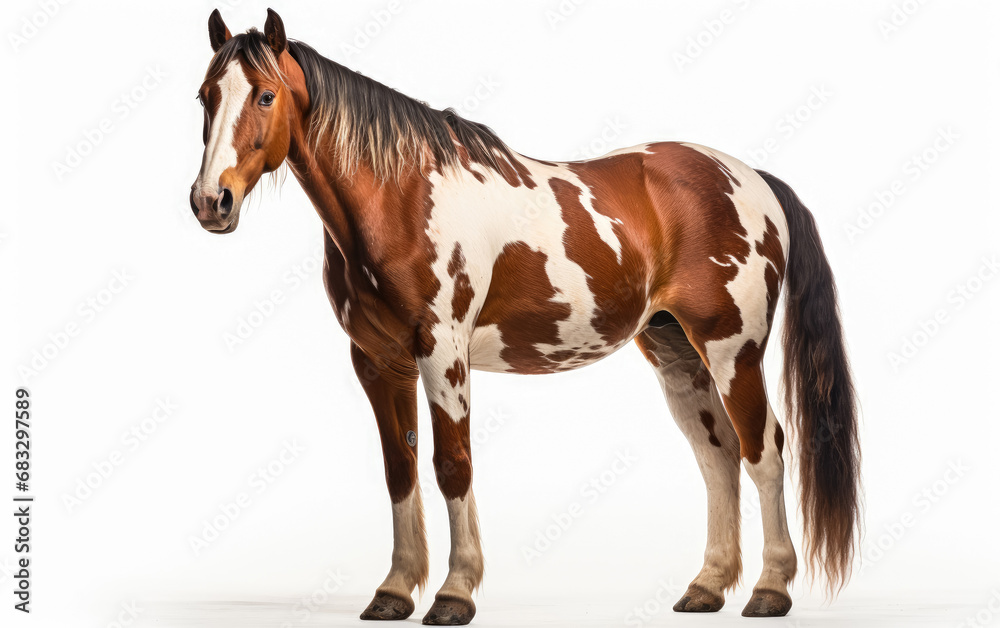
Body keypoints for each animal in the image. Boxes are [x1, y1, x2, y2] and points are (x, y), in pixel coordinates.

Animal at [190, 9, 860, 624]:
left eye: (266, 94)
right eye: (205, 95)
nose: (210, 202)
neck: (401, 198)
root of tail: (751, 178)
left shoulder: (443, 354)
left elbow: (451, 466)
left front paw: (455, 593)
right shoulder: (378, 361)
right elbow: (399, 471)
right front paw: (394, 591)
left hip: (731, 350)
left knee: (762, 449)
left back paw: (770, 590)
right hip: (676, 353)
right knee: (717, 455)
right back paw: (708, 586)